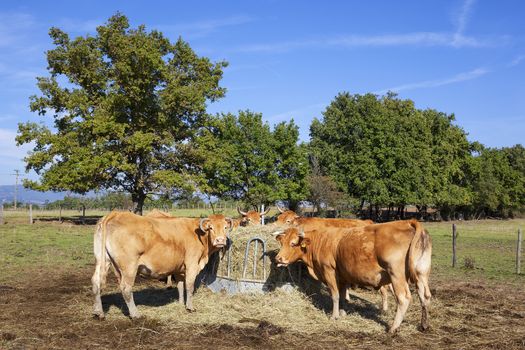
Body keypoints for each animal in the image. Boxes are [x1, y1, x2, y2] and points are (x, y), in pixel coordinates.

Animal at [90, 209, 231, 318]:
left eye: (225, 228)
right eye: (211, 228)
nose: (220, 240)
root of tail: (115, 214)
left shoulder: (179, 269)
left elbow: (180, 286)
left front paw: (180, 303)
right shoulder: (191, 264)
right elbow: (189, 287)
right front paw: (190, 307)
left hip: (102, 261)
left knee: (96, 282)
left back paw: (98, 312)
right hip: (129, 267)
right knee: (126, 288)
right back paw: (135, 314)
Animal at [272, 220, 432, 332]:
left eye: (293, 243)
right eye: (282, 242)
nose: (278, 258)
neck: (321, 241)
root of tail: (408, 222)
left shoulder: (329, 271)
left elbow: (335, 295)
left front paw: (334, 316)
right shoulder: (342, 275)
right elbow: (343, 296)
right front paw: (343, 313)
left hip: (396, 275)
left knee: (403, 298)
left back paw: (393, 328)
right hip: (421, 274)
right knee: (424, 296)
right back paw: (424, 325)